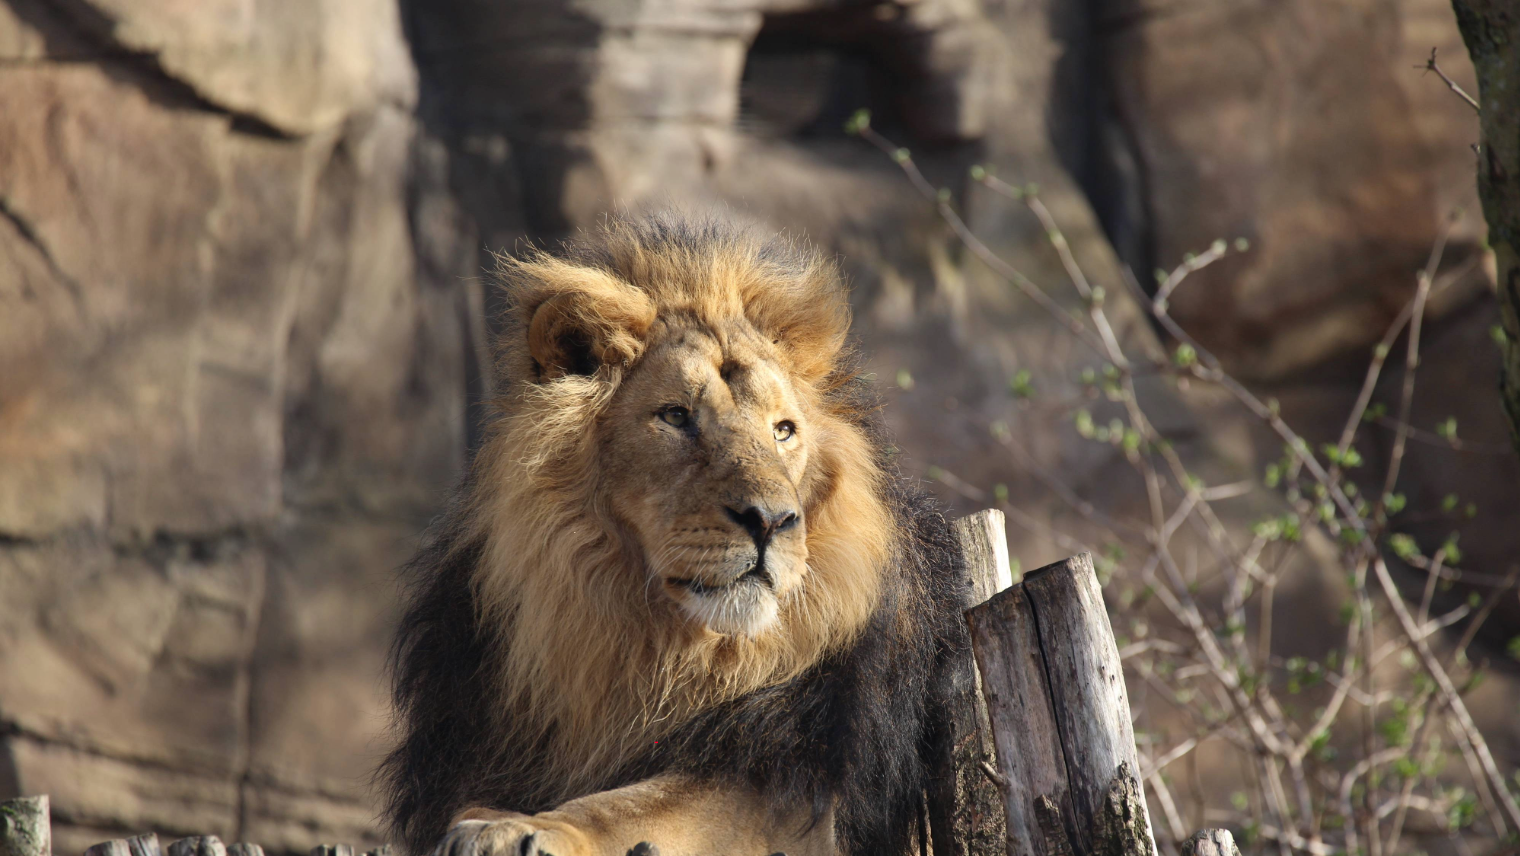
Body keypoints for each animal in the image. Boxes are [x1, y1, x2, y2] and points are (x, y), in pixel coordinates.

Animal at [380, 214, 966, 856]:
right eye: (676, 417)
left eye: (784, 430)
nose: (771, 520)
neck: (640, 640)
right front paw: (493, 816)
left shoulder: (787, 784)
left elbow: (630, 806)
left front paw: (525, 828)